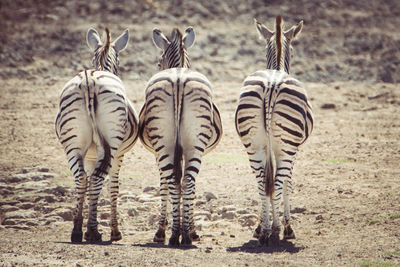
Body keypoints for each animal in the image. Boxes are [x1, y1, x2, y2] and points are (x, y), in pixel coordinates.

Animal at [55, 28, 139, 244]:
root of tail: (89, 81)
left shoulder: (91, 156)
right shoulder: (118, 155)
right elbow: (113, 187)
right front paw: (115, 231)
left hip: (73, 144)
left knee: (82, 178)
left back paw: (77, 230)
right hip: (110, 143)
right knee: (97, 178)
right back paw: (92, 231)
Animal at [138, 26, 222, 247]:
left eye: (158, 63)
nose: (158, 67)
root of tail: (178, 79)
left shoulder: (158, 154)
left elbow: (164, 186)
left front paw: (161, 231)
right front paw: (187, 229)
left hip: (166, 145)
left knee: (175, 181)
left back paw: (178, 234)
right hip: (194, 144)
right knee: (187, 181)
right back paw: (184, 234)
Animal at [234, 15, 316, 247]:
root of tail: (271, 84)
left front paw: (260, 226)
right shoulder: (293, 150)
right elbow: (288, 184)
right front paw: (286, 226)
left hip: (253, 145)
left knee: (262, 184)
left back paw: (264, 232)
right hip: (287, 146)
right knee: (278, 183)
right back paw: (278, 230)